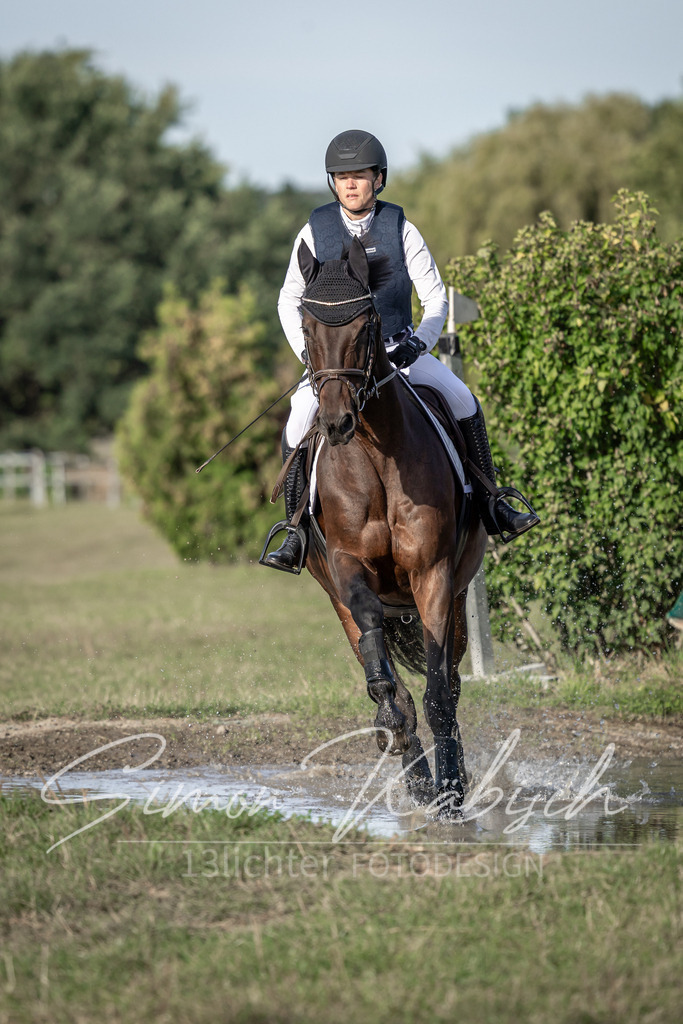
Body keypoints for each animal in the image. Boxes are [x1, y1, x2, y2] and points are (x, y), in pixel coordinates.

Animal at [277, 237, 487, 811]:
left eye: (366, 325)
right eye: (307, 328)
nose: (336, 423)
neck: (374, 455)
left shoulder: (433, 575)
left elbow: (439, 691)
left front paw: (451, 791)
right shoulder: (348, 568)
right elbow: (377, 644)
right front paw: (392, 718)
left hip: (457, 594)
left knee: (450, 681)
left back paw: (443, 779)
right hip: (336, 599)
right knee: (372, 648)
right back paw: (412, 769)